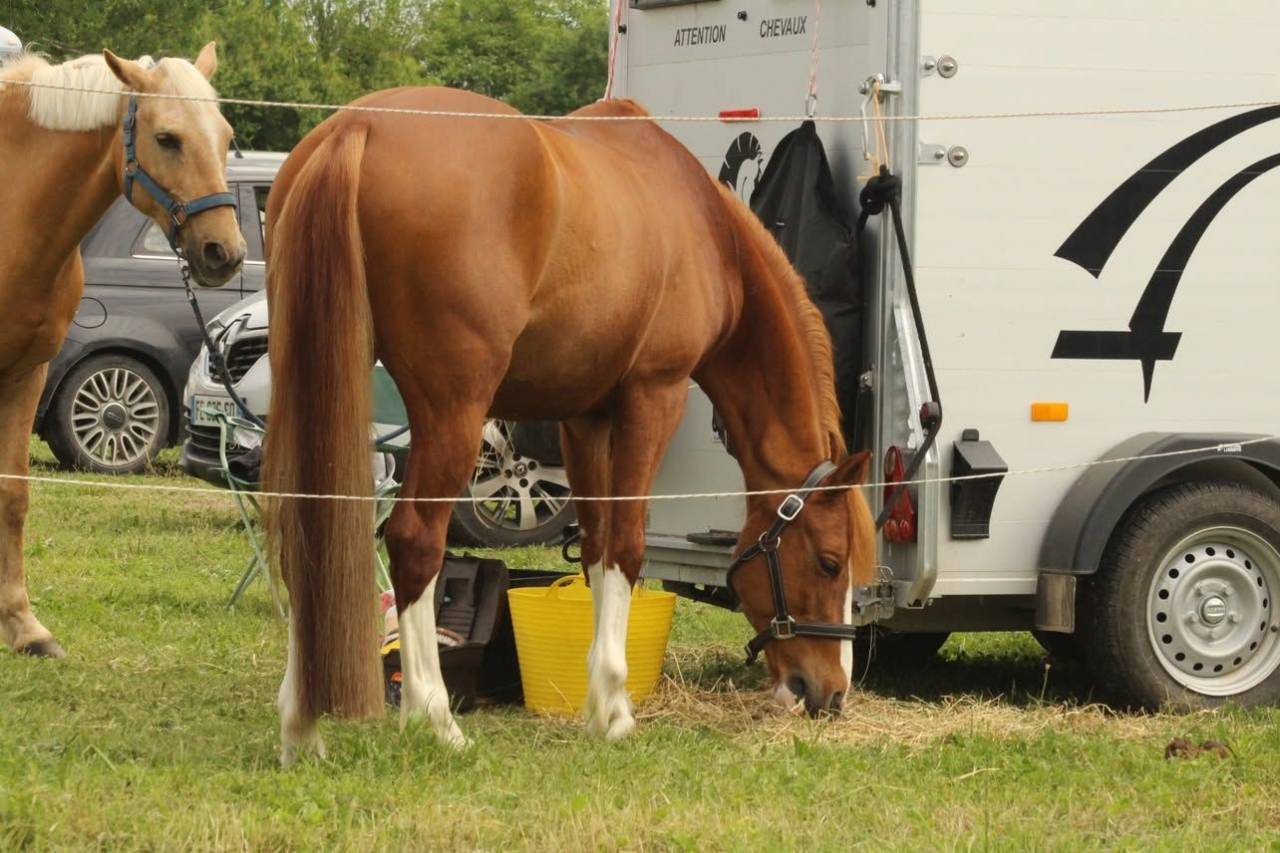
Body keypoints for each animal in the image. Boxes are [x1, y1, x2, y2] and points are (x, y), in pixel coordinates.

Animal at [0, 44, 244, 658]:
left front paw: (24, 626)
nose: (224, 252)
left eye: (226, 135)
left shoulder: (26, 374)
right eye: (167, 138)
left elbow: (13, 495)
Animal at [264, 87, 875, 765]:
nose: (832, 692)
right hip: (453, 413)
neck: (705, 229)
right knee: (415, 541)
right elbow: (628, 546)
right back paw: (436, 718)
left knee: (303, 537)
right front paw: (615, 712)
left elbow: (596, 549)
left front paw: (595, 704)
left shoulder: (584, 419)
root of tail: (358, 126)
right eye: (830, 562)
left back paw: (299, 727)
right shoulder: (653, 398)